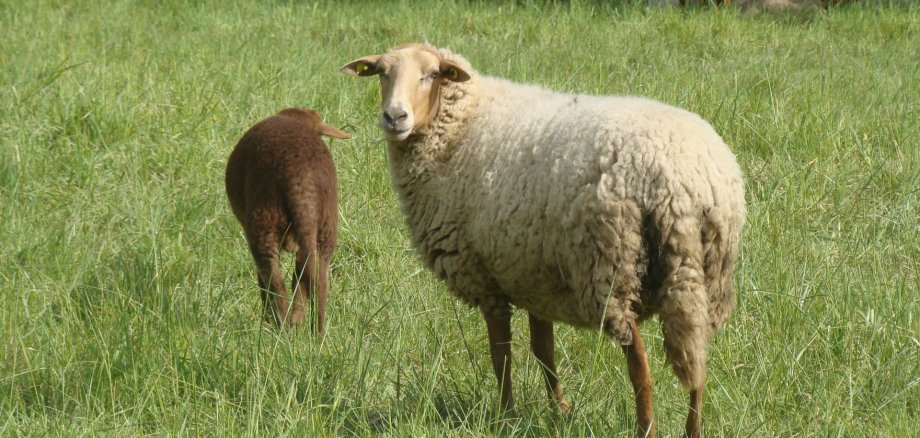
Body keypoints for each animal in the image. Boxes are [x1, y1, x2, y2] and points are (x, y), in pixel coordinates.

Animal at [225, 108, 349, 334]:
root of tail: (301, 179)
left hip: (263, 224)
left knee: (274, 282)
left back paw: (281, 330)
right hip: (325, 229)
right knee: (315, 280)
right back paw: (313, 333)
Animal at [340, 43, 745, 437]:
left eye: (431, 75)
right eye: (382, 74)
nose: (394, 117)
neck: (460, 127)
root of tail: (683, 180)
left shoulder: (485, 278)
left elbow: (501, 354)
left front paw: (505, 419)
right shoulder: (533, 276)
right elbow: (544, 351)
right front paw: (559, 415)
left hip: (610, 266)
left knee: (640, 365)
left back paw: (646, 428)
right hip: (705, 276)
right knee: (697, 360)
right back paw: (693, 429)